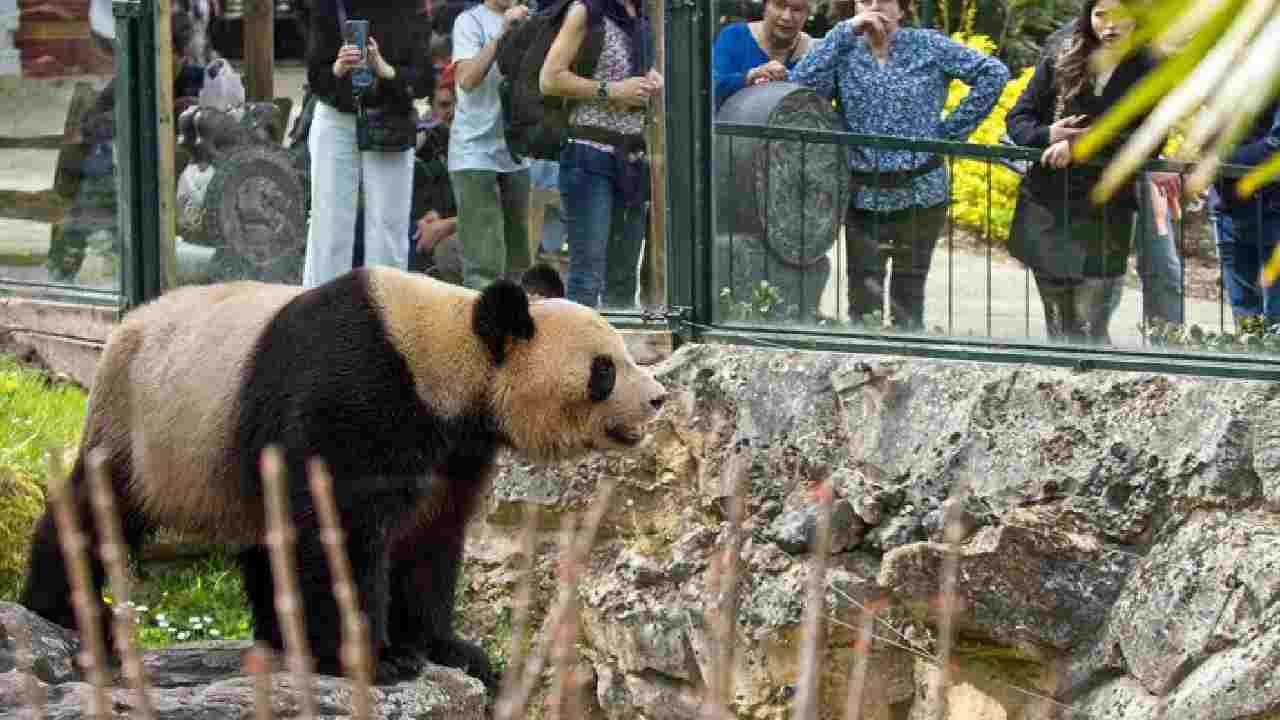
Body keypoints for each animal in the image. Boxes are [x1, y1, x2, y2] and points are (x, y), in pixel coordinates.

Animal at [20, 266, 670, 686]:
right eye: (605, 370)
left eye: (623, 356)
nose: (659, 398)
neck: (448, 351)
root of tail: (122, 328)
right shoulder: (354, 391)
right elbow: (341, 529)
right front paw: (378, 660)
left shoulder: (452, 448)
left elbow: (430, 539)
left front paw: (452, 651)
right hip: (146, 427)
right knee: (100, 510)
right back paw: (62, 610)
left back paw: (284, 636)